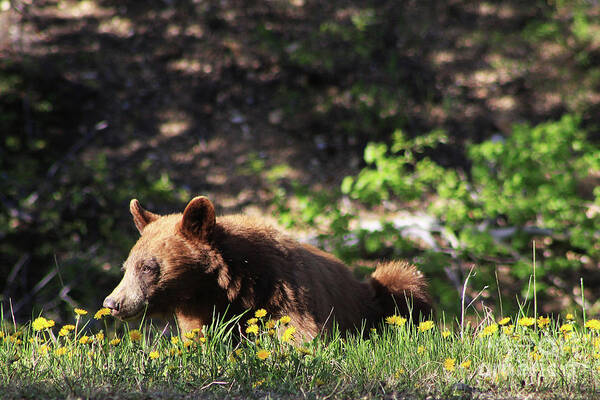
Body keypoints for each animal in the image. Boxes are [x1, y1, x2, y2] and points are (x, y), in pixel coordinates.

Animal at [103, 196, 432, 338]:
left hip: (377, 295)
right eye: (126, 266)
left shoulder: (286, 292)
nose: (113, 302)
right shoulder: (200, 313)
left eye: (147, 267)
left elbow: (300, 333)